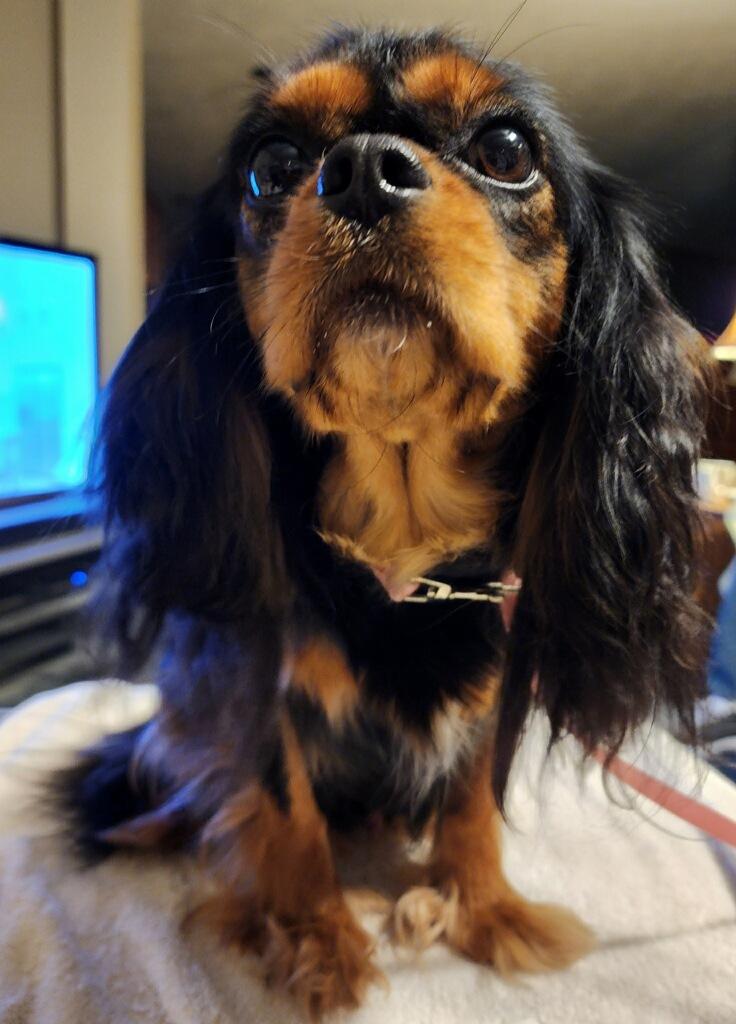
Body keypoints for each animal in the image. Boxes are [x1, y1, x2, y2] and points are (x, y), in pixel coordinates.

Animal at [63, 27, 710, 1019]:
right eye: (272, 166)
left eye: (507, 151)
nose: (365, 169)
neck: (404, 553)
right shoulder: (255, 674)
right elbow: (283, 805)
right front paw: (315, 940)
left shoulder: (495, 683)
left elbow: (474, 800)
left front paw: (483, 908)